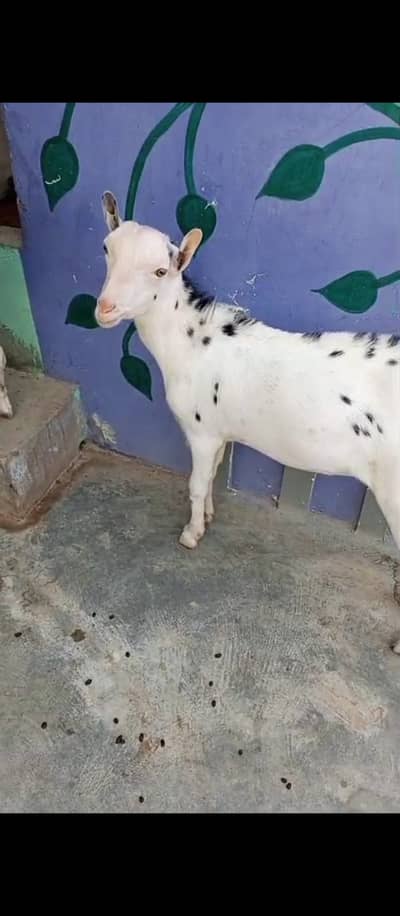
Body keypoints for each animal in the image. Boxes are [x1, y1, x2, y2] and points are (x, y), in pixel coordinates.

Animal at [95, 191, 400, 646]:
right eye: (106, 249)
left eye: (161, 271)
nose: (105, 308)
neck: (191, 344)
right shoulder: (218, 431)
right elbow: (213, 474)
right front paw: (207, 518)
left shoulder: (200, 431)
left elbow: (196, 482)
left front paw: (191, 534)